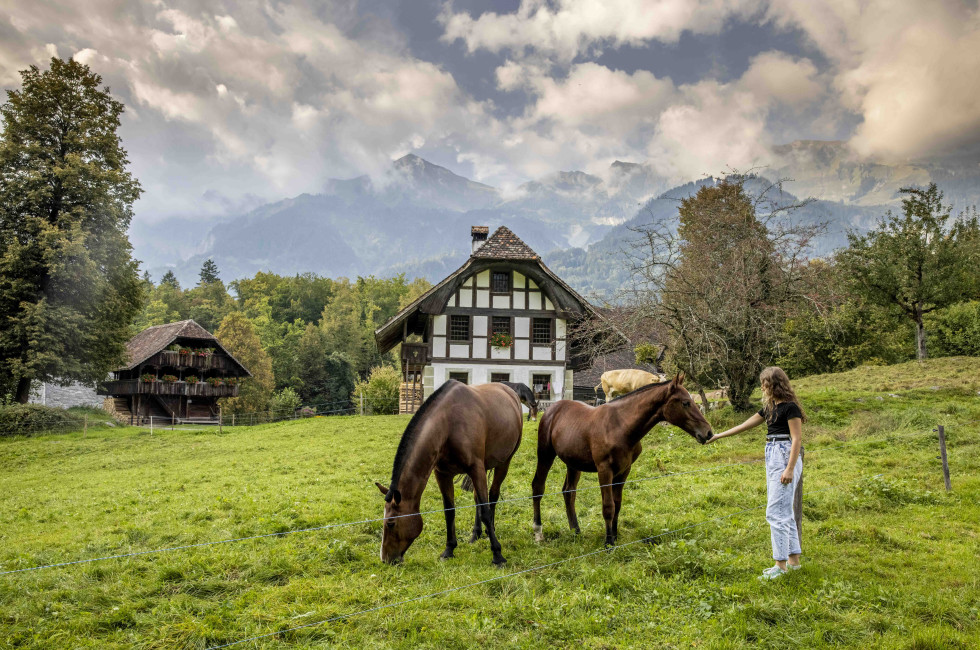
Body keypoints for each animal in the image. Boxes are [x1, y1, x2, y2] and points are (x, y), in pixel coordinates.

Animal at [376, 378, 524, 564]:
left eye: (390, 523)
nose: (385, 559)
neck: (448, 425)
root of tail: (510, 391)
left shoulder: (476, 469)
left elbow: (485, 510)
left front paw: (497, 554)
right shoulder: (443, 474)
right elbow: (449, 511)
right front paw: (449, 549)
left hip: (504, 463)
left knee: (493, 496)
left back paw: (491, 529)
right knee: (477, 498)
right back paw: (476, 534)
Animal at [532, 372, 708, 544]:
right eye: (686, 403)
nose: (708, 432)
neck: (620, 426)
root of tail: (551, 410)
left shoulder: (624, 470)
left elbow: (617, 504)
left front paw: (615, 536)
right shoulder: (604, 470)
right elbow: (608, 506)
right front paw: (608, 542)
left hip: (573, 463)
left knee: (569, 491)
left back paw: (575, 531)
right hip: (545, 454)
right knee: (538, 487)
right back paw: (538, 532)